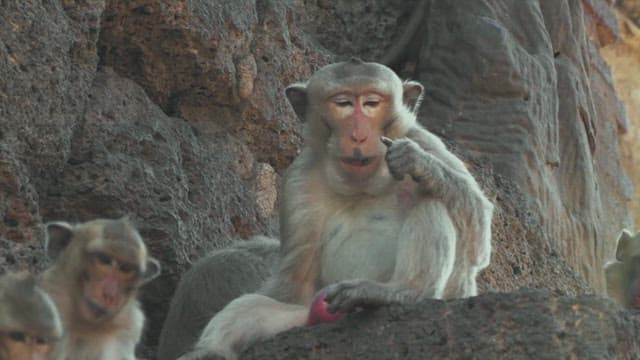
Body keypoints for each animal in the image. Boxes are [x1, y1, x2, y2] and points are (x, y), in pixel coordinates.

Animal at [180, 59, 496, 360]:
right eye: (342, 103)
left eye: (371, 103)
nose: (358, 136)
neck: (363, 184)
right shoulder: (298, 181)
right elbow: (292, 287)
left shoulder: (424, 139)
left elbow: (478, 238)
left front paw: (417, 162)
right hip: (311, 314)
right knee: (256, 306)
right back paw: (209, 351)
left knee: (432, 200)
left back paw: (400, 293)